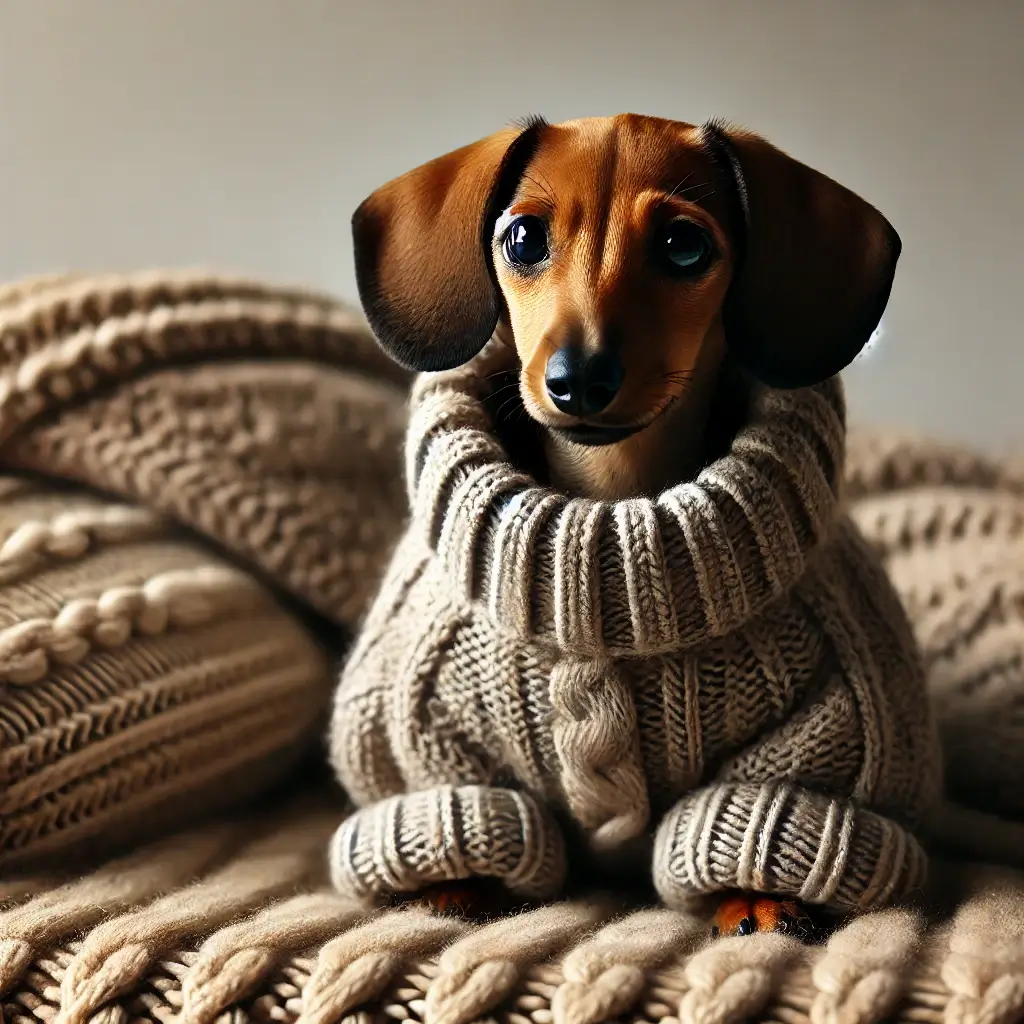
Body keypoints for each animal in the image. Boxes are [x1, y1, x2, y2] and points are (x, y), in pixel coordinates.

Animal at [348, 114, 901, 937]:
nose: (578, 379)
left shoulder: (815, 739)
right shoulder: (434, 741)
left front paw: (759, 897)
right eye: (522, 239)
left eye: (684, 245)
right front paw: (459, 886)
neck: (610, 502)